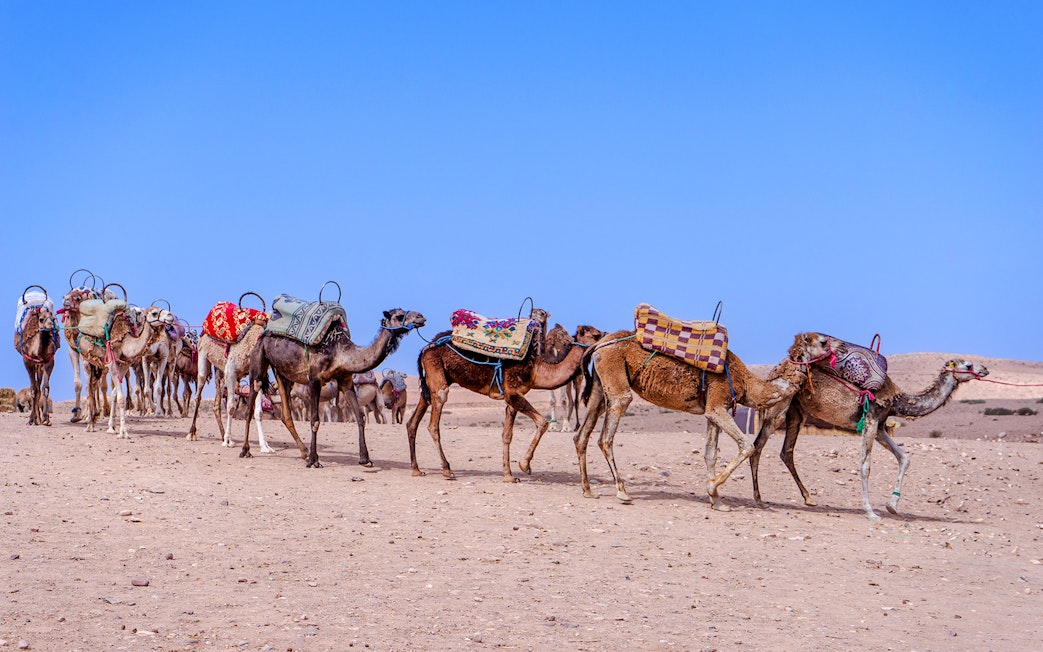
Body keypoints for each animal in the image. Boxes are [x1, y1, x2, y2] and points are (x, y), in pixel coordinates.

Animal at [14, 288, 60, 426]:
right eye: (41, 319)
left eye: (53, 318)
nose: (51, 326)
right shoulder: (27, 360)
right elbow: (33, 389)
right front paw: (31, 419)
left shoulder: (49, 361)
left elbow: (45, 388)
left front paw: (46, 419)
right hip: (34, 364)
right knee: (35, 387)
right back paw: (34, 419)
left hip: (39, 365)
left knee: (39, 385)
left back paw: (39, 419)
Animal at [242, 307, 426, 467]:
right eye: (399, 316)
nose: (421, 317)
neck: (340, 353)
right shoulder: (314, 380)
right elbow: (314, 420)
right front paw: (314, 461)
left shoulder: (346, 381)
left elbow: (360, 417)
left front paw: (365, 459)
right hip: (258, 362)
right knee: (251, 403)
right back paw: (246, 450)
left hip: (283, 374)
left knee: (286, 414)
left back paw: (304, 452)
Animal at [405, 323, 604, 483]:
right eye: (596, 335)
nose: (606, 337)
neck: (535, 368)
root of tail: (425, 349)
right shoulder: (513, 393)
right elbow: (543, 422)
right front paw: (524, 465)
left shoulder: (512, 398)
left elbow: (507, 435)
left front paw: (509, 475)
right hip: (438, 379)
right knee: (433, 423)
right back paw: (447, 470)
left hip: (433, 382)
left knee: (412, 422)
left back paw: (416, 470)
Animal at [566, 331, 835, 510]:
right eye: (821, 340)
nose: (834, 346)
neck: (748, 384)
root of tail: (598, 345)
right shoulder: (717, 404)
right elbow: (747, 446)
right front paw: (713, 489)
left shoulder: (714, 410)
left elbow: (710, 454)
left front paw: (716, 500)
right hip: (616, 383)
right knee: (606, 436)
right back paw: (622, 492)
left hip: (599, 387)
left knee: (582, 435)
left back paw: (588, 490)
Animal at [747, 359, 988, 520]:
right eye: (968, 365)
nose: (985, 370)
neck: (897, 399)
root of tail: (774, 370)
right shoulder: (871, 420)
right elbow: (865, 465)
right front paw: (871, 511)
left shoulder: (881, 426)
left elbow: (904, 458)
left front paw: (892, 505)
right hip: (779, 407)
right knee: (757, 446)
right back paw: (759, 501)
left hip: (797, 412)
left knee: (786, 451)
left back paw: (809, 498)